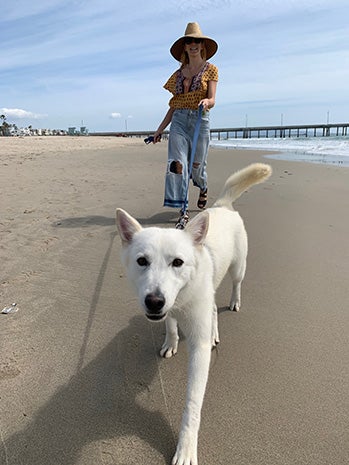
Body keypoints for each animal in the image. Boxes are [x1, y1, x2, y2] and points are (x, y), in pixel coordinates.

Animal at [115, 163, 270, 464]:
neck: (181, 300)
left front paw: (186, 448)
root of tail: (222, 206)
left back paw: (233, 303)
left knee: (235, 285)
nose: (154, 302)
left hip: (238, 268)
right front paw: (170, 342)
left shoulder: (197, 345)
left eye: (178, 262)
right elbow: (171, 326)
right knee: (211, 309)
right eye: (142, 261)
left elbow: (192, 405)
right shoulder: (172, 310)